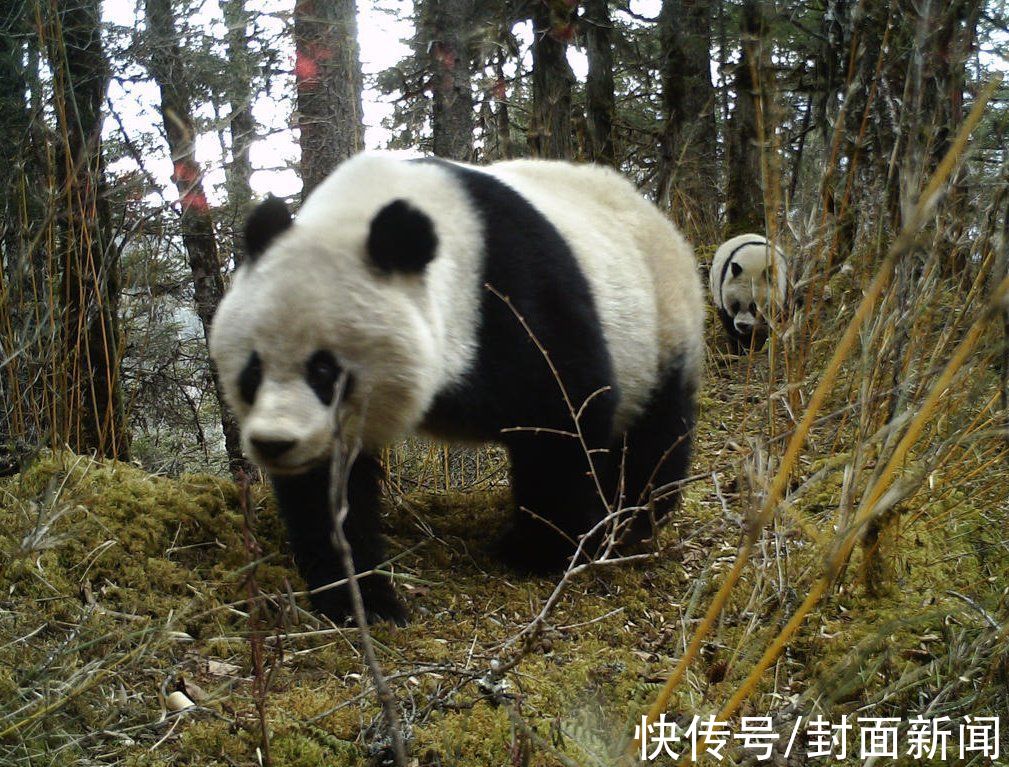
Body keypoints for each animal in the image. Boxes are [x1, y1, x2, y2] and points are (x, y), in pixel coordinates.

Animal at [209, 151, 706, 621]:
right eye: (252, 371)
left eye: (325, 371)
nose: (274, 443)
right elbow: (329, 491)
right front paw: (360, 599)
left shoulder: (517, 293)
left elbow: (565, 415)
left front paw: (536, 552)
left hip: (658, 321)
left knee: (656, 431)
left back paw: (635, 518)